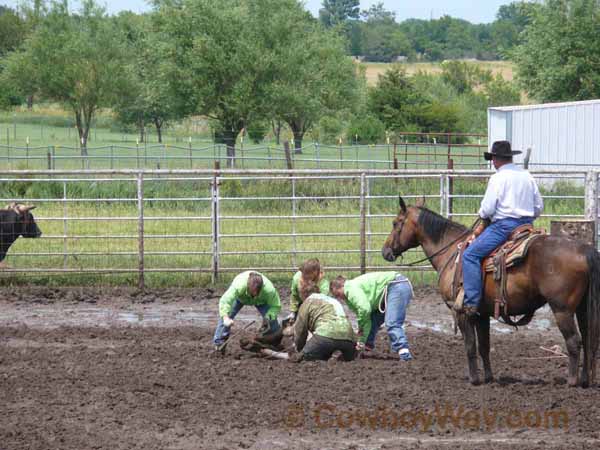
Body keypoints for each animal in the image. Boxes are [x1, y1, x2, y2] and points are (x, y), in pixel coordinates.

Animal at [382, 197, 596, 386]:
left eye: (395, 223)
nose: (385, 252)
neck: (450, 253)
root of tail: (586, 250)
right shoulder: (481, 313)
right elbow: (484, 346)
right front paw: (488, 378)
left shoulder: (462, 312)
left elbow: (470, 345)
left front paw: (474, 380)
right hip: (582, 308)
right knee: (588, 338)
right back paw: (585, 380)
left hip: (562, 309)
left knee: (574, 341)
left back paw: (572, 381)